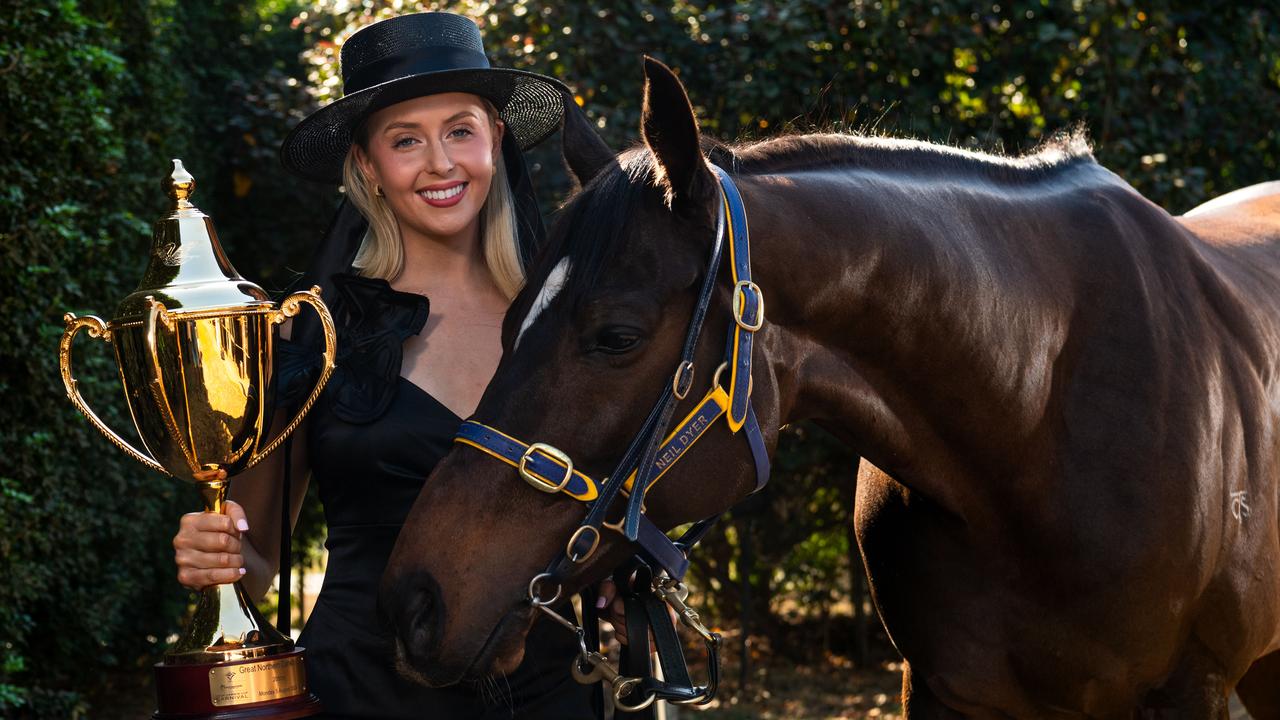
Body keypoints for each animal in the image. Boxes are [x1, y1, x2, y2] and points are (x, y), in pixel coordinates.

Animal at [378, 58, 1280, 712]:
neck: (1036, 431)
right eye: (510, 319)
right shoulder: (940, 688)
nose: (415, 602)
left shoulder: (1192, 689)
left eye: (617, 336)